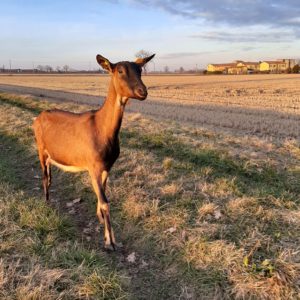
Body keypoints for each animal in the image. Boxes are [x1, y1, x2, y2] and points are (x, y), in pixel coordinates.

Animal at [32, 52, 155, 250]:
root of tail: (37, 118)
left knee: (49, 176)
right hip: (40, 149)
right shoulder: (93, 165)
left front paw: (100, 219)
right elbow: (105, 202)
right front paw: (110, 242)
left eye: (140, 70)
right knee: (44, 177)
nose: (142, 91)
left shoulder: (107, 166)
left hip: (50, 155)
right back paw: (47, 203)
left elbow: (102, 194)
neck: (101, 129)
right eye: (120, 71)